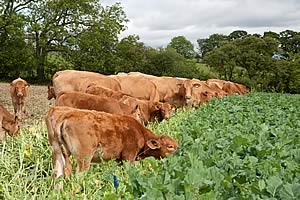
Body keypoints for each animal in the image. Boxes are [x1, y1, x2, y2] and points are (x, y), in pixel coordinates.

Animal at [45, 106, 177, 178]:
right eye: (170, 146)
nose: (179, 153)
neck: (140, 132)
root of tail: (66, 115)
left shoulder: (120, 159)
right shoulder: (128, 157)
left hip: (58, 152)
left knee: (57, 174)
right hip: (84, 158)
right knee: (79, 175)